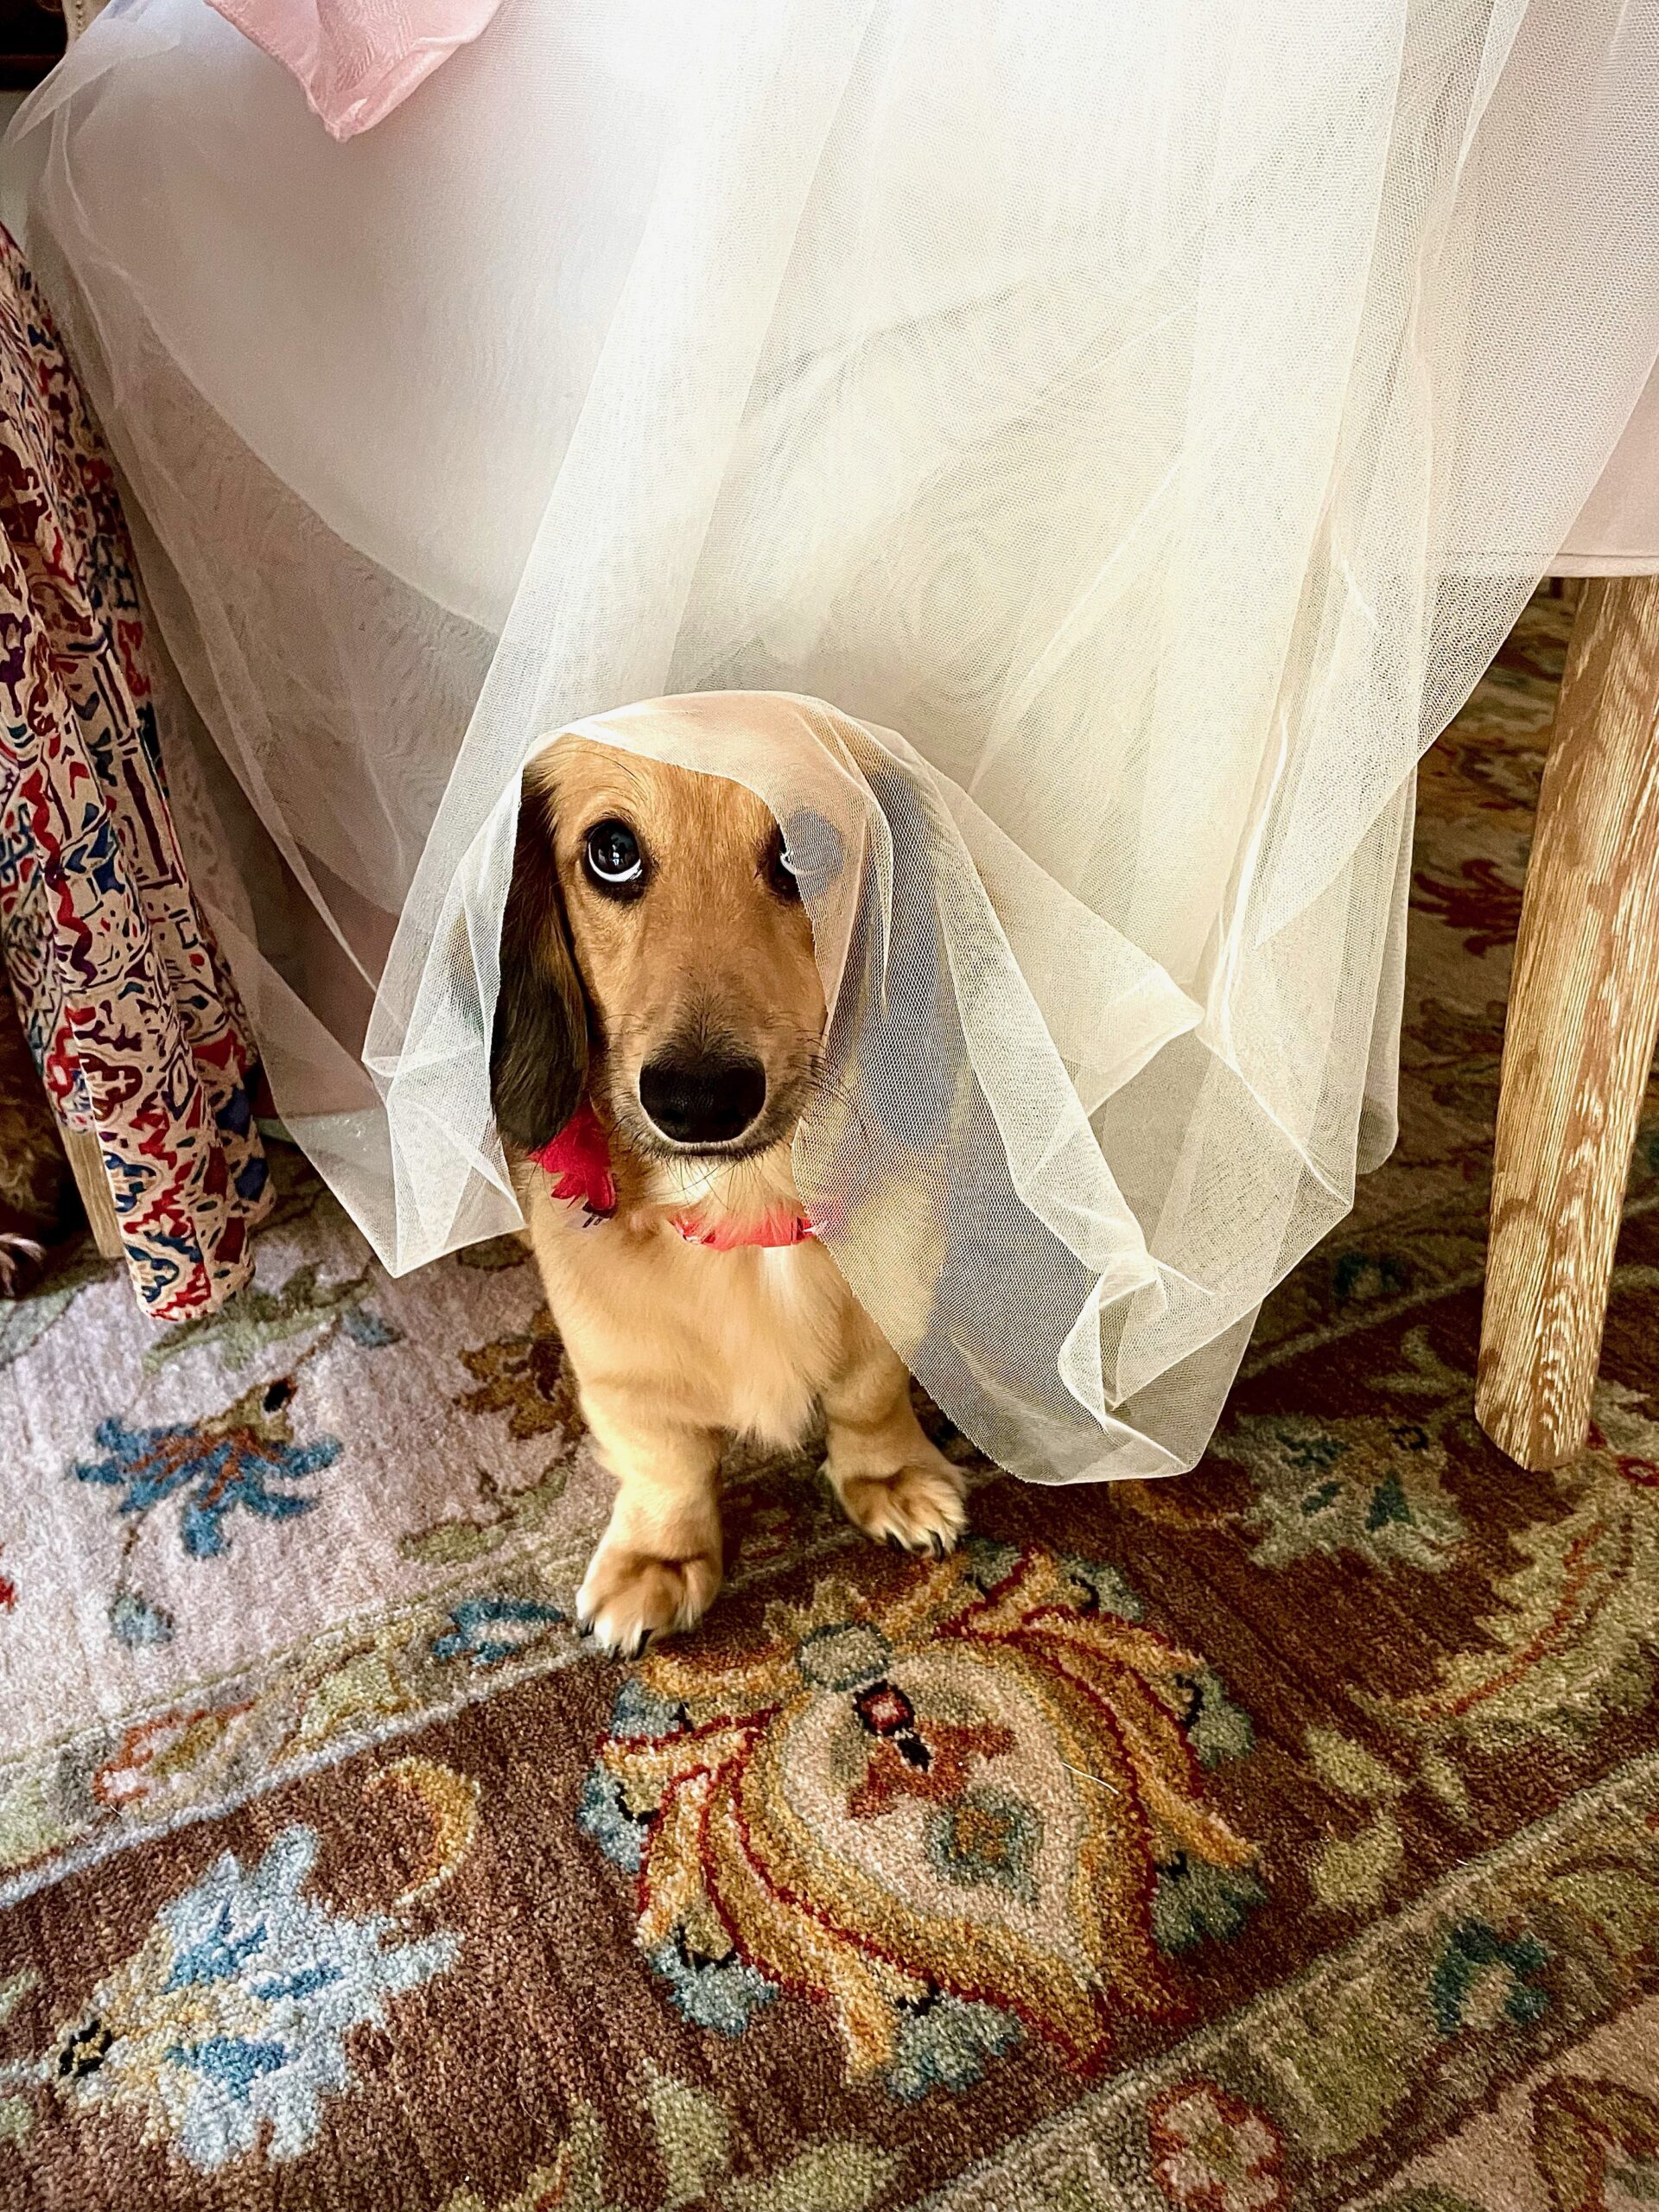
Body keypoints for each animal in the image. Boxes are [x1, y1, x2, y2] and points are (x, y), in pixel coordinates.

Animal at [491, 734, 968, 1656]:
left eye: (800, 850)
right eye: (611, 851)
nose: (699, 1099)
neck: (747, 1208)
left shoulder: (888, 1318)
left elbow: (869, 1394)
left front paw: (889, 1475)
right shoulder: (620, 1371)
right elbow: (667, 1465)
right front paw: (660, 1558)